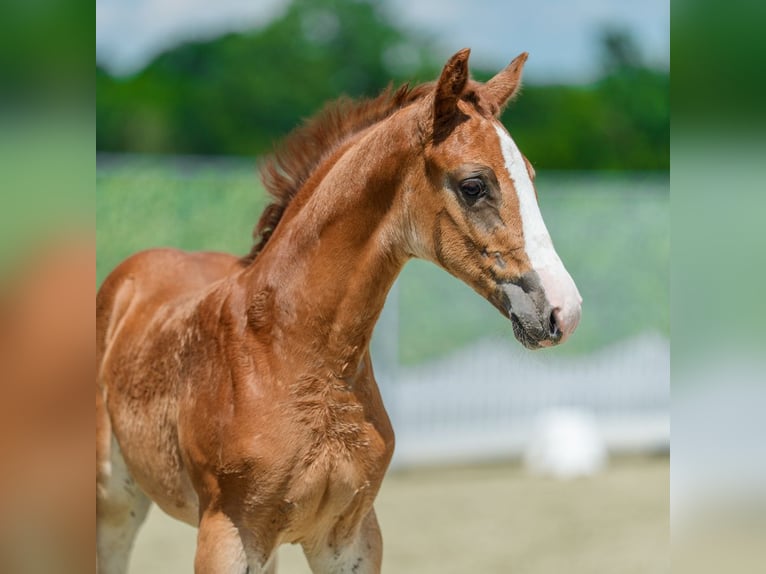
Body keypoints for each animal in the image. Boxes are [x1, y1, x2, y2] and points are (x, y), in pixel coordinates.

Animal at [96, 48, 582, 573]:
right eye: (474, 185)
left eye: (530, 178)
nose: (564, 310)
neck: (296, 357)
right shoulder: (228, 534)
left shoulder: (351, 536)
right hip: (114, 503)